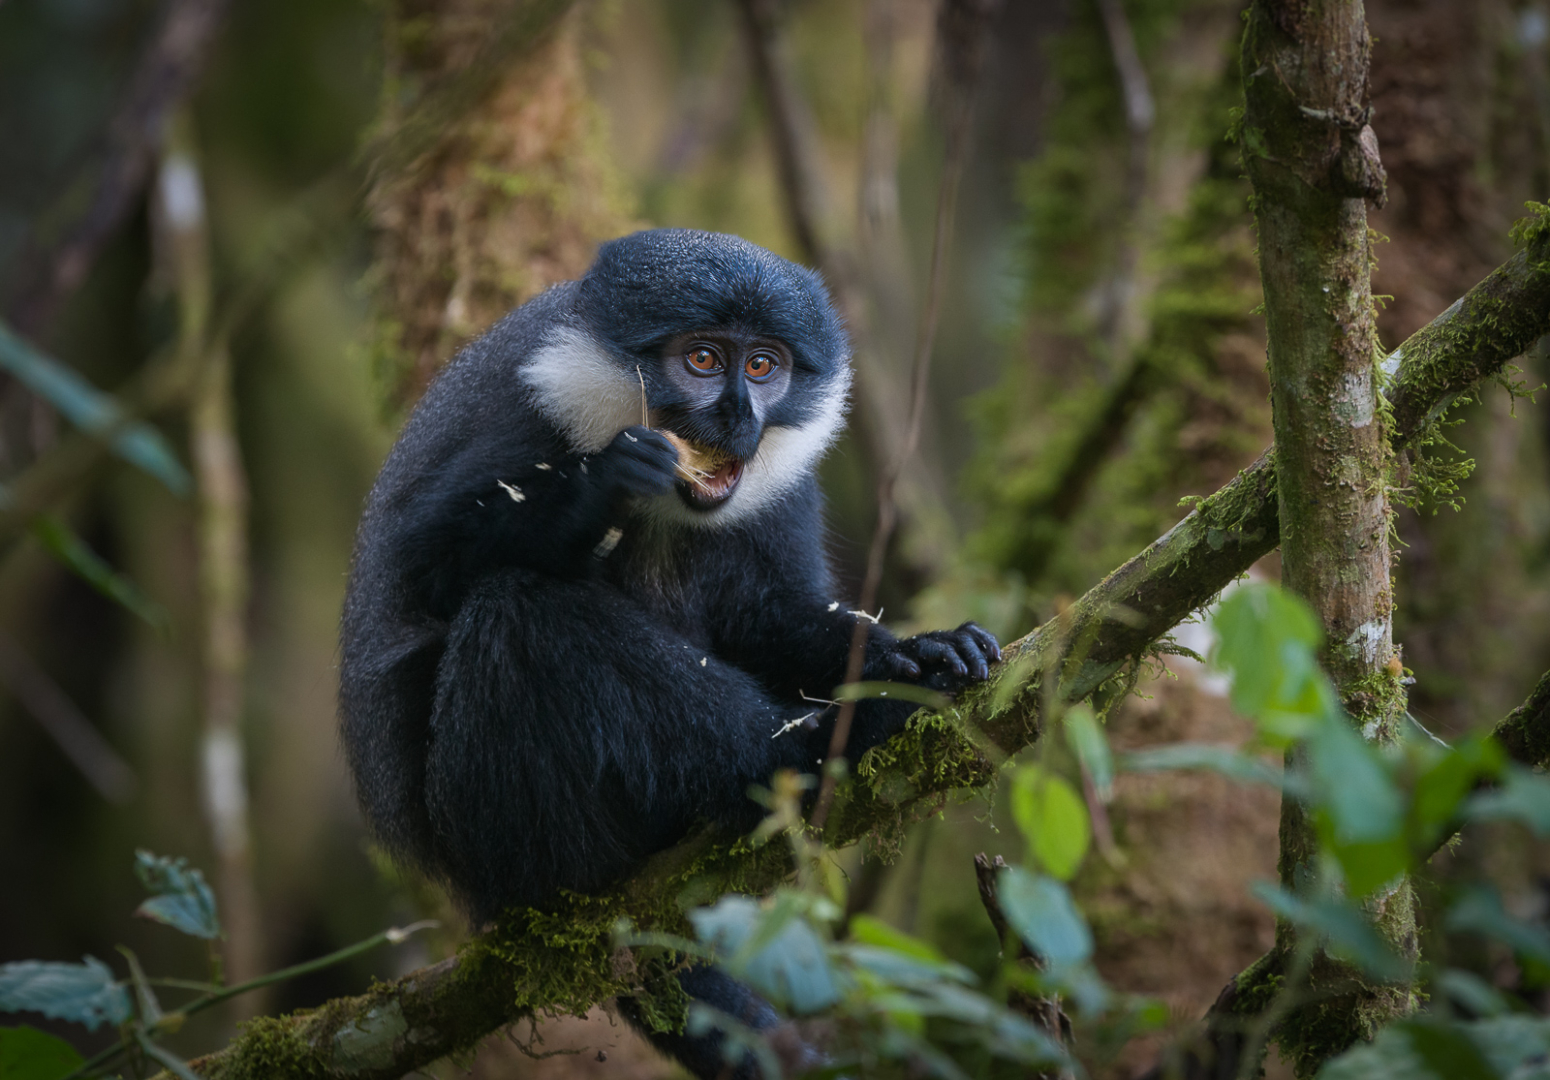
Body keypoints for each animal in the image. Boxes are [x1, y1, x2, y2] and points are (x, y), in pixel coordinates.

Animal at [338, 228, 999, 1077]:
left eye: (764, 366)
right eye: (703, 360)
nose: (738, 416)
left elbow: (768, 612)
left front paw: (918, 652)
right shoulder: (521, 418)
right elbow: (427, 569)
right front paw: (602, 486)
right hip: (494, 825)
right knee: (515, 611)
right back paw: (813, 751)